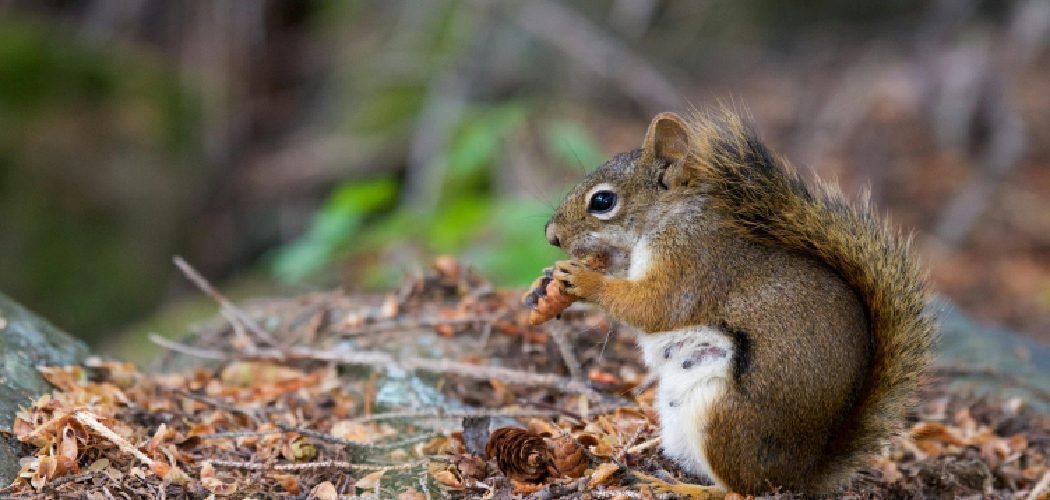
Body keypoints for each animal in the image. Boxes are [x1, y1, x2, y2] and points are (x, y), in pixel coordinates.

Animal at [537, 109, 935, 495]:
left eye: (603, 201)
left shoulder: (691, 265)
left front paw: (584, 280)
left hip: (725, 419)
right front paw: (550, 279)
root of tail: (801, 475)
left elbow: (655, 307)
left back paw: (682, 488)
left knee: (738, 488)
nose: (551, 236)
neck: (670, 218)